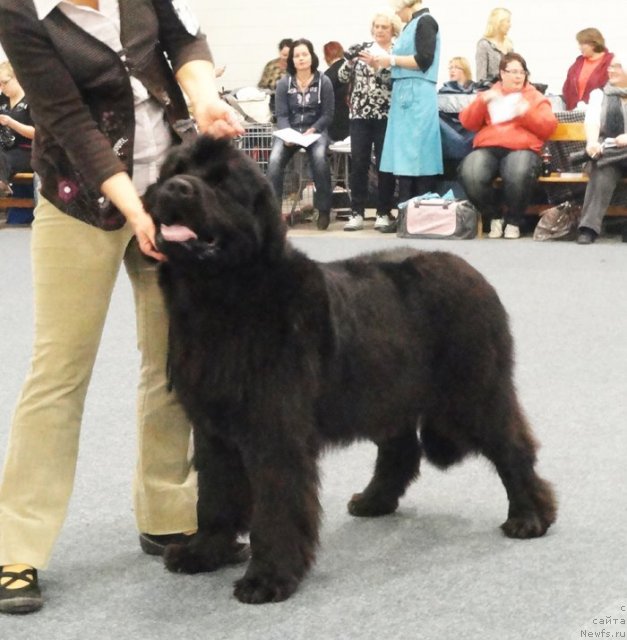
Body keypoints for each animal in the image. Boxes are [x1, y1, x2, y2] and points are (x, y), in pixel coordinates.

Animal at [145, 136, 556, 604]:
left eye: (220, 182)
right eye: (174, 171)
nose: (176, 189)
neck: (220, 300)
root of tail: (473, 272)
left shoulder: (275, 429)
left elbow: (276, 503)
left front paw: (268, 577)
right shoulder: (211, 426)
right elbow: (213, 495)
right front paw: (204, 552)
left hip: (473, 391)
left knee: (512, 446)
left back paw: (530, 517)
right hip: (389, 389)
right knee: (401, 450)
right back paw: (375, 501)